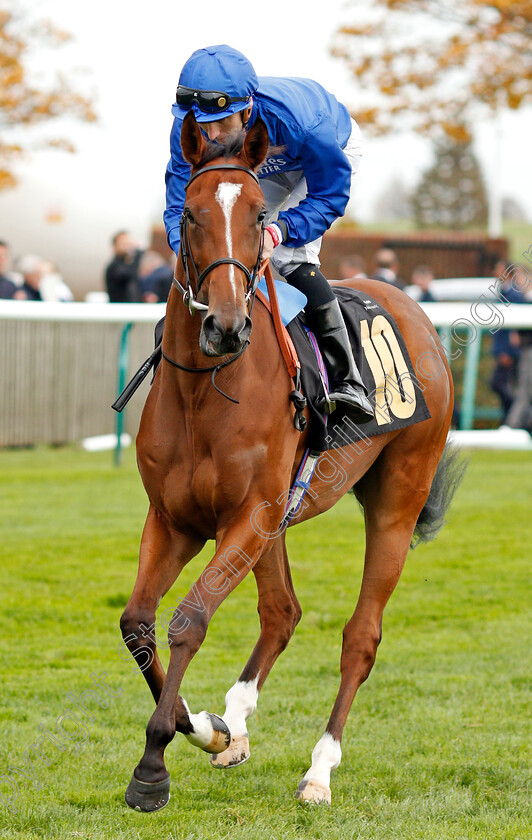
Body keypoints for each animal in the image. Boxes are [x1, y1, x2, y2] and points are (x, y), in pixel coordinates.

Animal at [119, 110, 458, 808]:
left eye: (256, 215)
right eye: (190, 212)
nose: (224, 325)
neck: (206, 390)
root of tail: (413, 308)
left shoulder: (246, 515)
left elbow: (189, 618)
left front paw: (154, 763)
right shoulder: (176, 519)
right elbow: (138, 623)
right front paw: (208, 729)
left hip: (395, 500)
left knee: (361, 637)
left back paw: (319, 770)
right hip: (274, 520)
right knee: (282, 613)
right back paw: (236, 724)